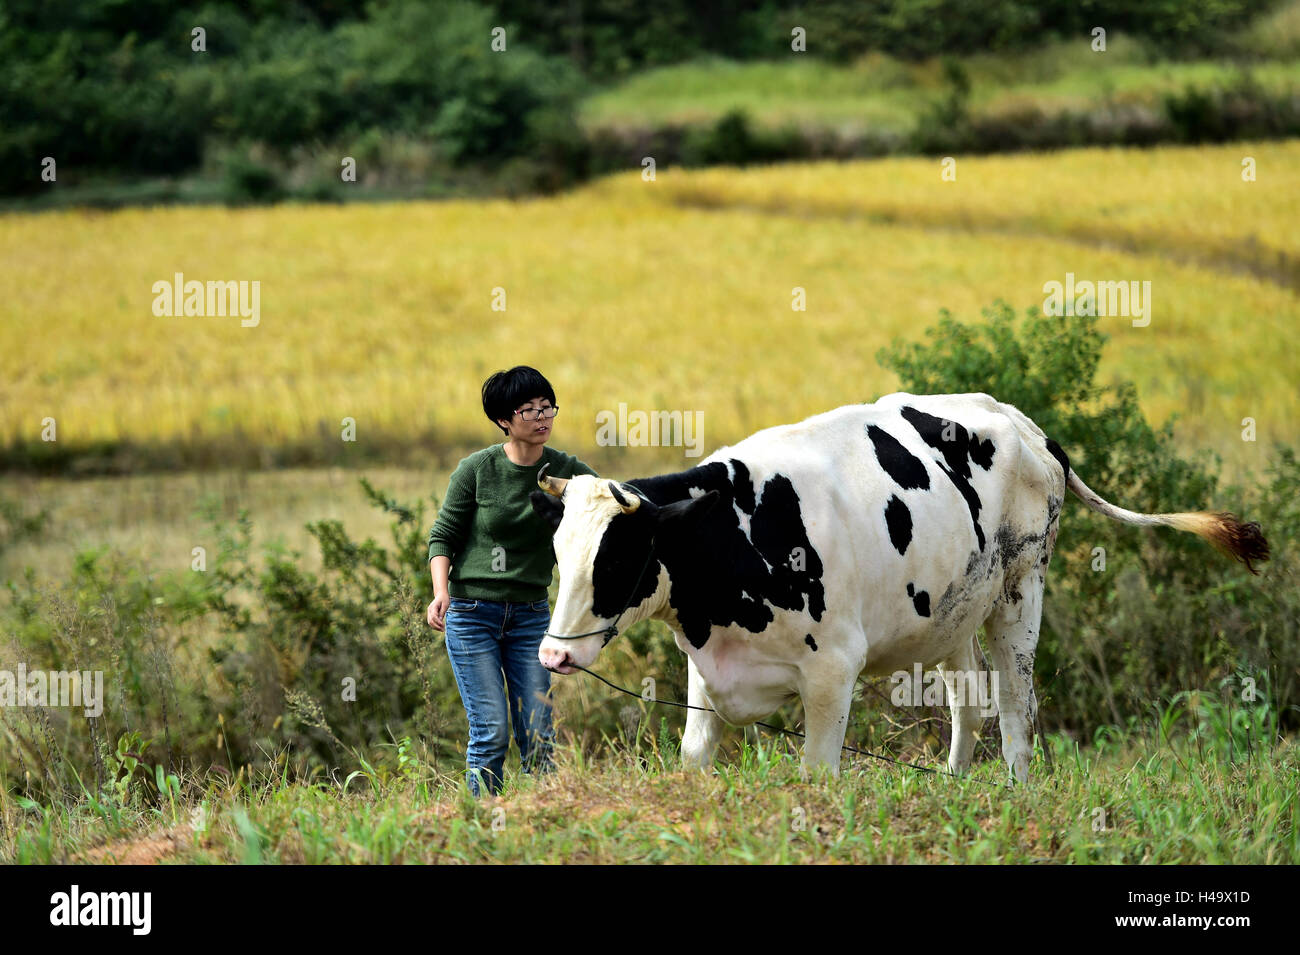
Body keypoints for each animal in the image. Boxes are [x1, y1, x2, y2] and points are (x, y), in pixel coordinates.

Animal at [527, 392, 1268, 779]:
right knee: (971, 701)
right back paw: (953, 782)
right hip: (954, 611)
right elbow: (693, 758)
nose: (554, 655)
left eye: (614, 561)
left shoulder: (833, 671)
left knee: (1016, 702)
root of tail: (1018, 419)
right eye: (558, 554)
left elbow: (817, 775)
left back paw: (1016, 786)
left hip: (1021, 589)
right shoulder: (707, 671)